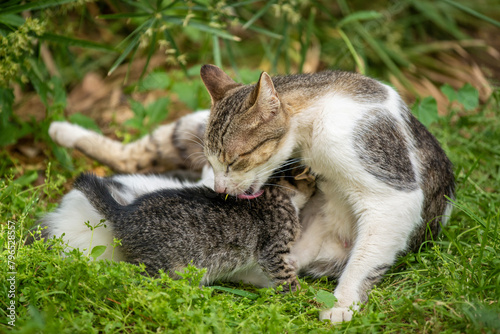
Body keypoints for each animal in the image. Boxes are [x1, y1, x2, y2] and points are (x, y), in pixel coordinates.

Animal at [72, 162, 314, 290]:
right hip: (160, 265)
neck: (277, 193)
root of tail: (123, 213)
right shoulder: (273, 250)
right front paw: (301, 295)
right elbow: (284, 275)